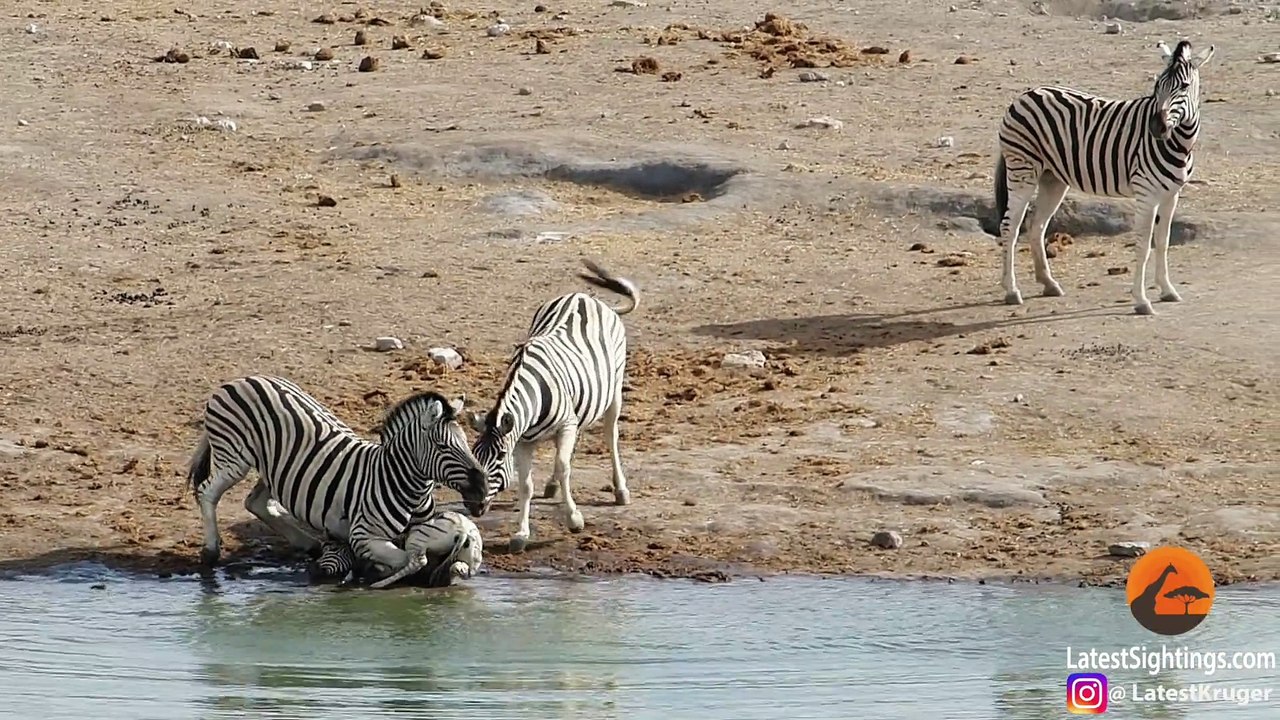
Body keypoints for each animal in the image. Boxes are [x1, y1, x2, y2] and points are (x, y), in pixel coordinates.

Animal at [187, 375, 490, 578]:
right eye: (443, 447)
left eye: (466, 441)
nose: (484, 493)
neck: (396, 479)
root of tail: (243, 379)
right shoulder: (363, 535)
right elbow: (405, 559)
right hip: (234, 456)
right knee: (207, 492)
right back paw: (210, 551)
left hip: (274, 467)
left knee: (256, 502)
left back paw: (309, 544)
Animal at [465, 260, 639, 553]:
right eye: (475, 455)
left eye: (499, 457)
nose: (472, 506)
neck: (533, 398)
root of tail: (586, 297)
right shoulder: (522, 441)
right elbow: (525, 484)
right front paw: (521, 534)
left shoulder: (564, 425)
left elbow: (563, 466)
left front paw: (574, 519)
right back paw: (552, 485)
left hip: (614, 389)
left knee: (610, 436)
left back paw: (620, 490)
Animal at [994, 40, 1215, 315]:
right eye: (1157, 86)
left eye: (1184, 86)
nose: (1156, 128)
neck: (1179, 144)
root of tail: (1024, 96)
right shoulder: (1147, 194)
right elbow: (1144, 245)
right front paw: (1141, 301)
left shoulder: (1171, 195)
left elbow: (1163, 242)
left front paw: (1167, 290)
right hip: (1022, 169)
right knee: (1010, 226)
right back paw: (1011, 290)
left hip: (1052, 178)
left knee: (1037, 225)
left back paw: (1048, 283)